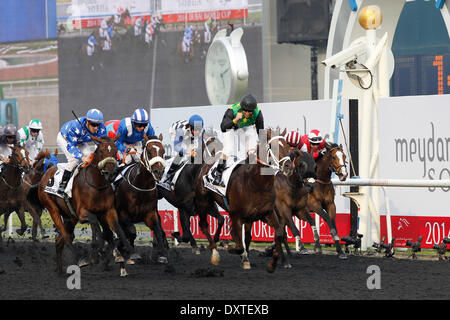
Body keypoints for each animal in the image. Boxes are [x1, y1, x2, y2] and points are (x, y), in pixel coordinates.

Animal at [28, 135, 132, 276]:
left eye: (115, 151)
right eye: (101, 151)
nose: (110, 172)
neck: (96, 185)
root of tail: (46, 174)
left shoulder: (108, 211)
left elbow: (115, 230)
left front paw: (122, 257)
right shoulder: (83, 214)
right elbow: (99, 228)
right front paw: (99, 253)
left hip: (70, 217)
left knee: (59, 240)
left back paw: (59, 270)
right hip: (53, 210)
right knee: (66, 237)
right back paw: (80, 259)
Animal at [113, 134, 168, 264]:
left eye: (163, 151)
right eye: (149, 151)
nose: (158, 172)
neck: (141, 187)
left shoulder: (150, 213)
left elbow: (158, 230)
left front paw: (162, 254)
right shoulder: (122, 213)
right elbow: (131, 231)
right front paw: (131, 252)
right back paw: (118, 252)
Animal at [194, 128, 294, 272]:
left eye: (287, 147)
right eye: (273, 147)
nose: (289, 167)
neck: (257, 182)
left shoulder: (266, 213)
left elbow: (278, 234)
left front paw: (272, 263)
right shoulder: (236, 215)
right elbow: (239, 244)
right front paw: (233, 249)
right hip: (203, 202)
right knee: (204, 225)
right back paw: (215, 253)